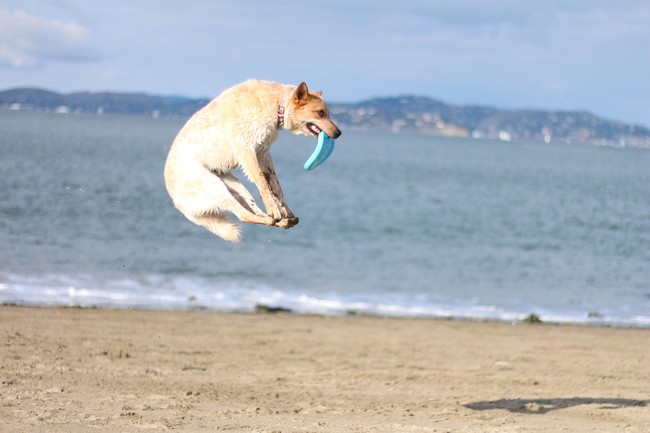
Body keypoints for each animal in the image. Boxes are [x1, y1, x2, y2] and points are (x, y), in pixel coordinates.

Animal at [163, 79, 340, 241]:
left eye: (328, 113)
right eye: (320, 113)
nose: (339, 133)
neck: (278, 104)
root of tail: (176, 202)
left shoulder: (263, 154)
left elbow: (276, 188)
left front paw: (284, 211)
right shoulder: (247, 151)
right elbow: (262, 183)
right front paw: (275, 209)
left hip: (237, 188)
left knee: (253, 211)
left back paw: (280, 221)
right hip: (215, 186)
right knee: (243, 215)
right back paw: (273, 219)